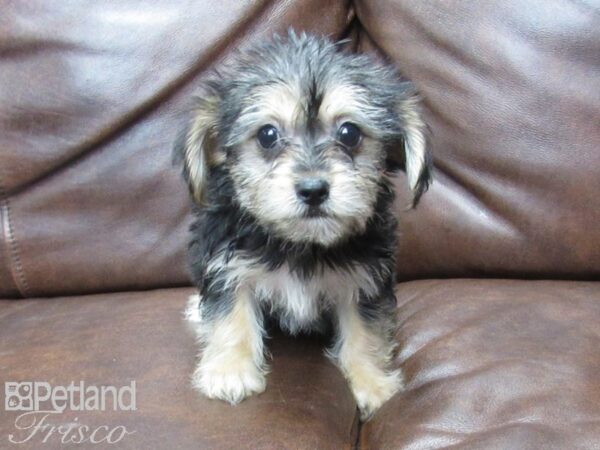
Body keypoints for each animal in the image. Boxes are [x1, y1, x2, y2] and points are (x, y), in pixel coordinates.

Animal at [173, 29, 432, 420]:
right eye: (267, 135)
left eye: (349, 133)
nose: (313, 190)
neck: (300, 243)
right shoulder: (226, 264)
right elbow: (230, 315)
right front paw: (231, 372)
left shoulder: (364, 278)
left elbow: (365, 333)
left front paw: (371, 384)